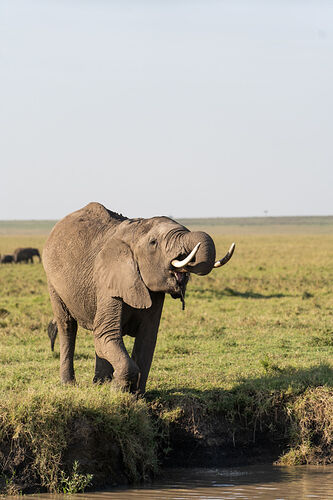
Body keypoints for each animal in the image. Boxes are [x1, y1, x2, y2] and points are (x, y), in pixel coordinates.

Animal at [42, 203, 233, 394]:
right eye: (154, 243)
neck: (136, 233)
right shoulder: (109, 283)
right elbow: (107, 333)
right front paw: (118, 389)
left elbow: (146, 339)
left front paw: (135, 395)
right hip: (52, 281)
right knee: (68, 325)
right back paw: (69, 384)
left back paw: (100, 384)